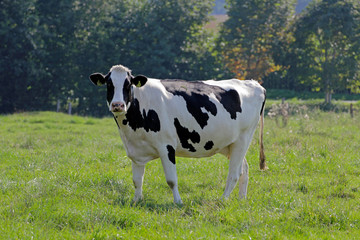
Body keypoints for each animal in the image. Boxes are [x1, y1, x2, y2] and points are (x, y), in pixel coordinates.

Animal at [89, 64, 268, 203]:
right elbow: (137, 180)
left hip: (243, 139)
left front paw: (178, 202)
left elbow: (171, 180)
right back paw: (241, 199)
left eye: (128, 85)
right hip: (229, 144)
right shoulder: (136, 150)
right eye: (109, 85)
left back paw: (223, 199)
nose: (117, 105)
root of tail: (254, 83)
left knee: (234, 173)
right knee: (244, 169)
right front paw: (136, 201)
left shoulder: (166, 146)